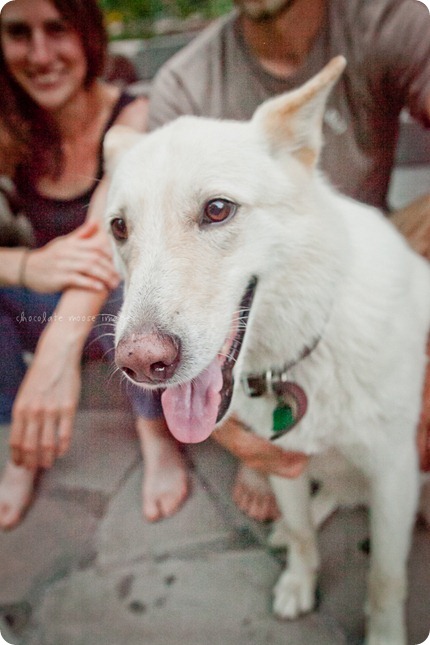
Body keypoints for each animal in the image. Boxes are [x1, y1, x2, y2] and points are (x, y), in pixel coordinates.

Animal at [103, 57, 430, 640]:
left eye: (217, 209)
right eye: (120, 227)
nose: (142, 363)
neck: (301, 358)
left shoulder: (395, 470)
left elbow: (385, 579)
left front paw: (386, 634)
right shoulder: (282, 462)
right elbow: (301, 534)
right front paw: (299, 581)